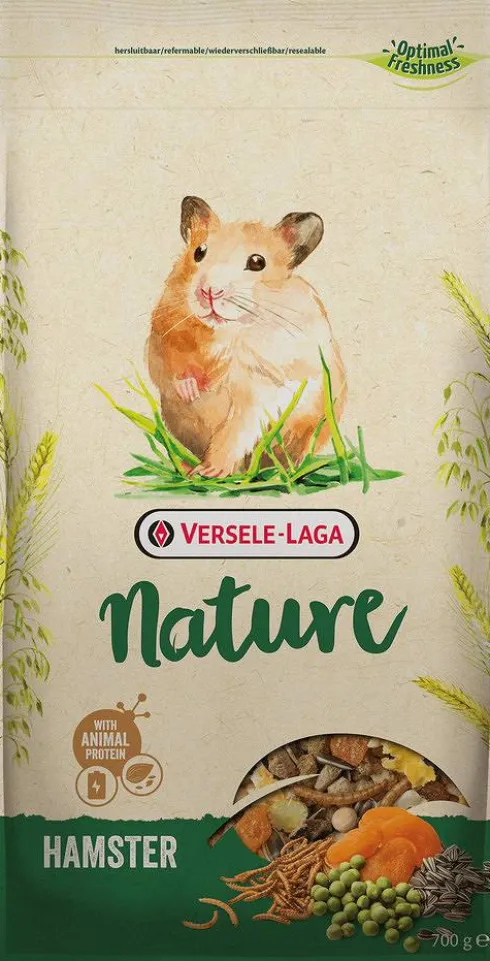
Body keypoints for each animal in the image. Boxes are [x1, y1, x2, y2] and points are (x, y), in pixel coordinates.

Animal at [147, 196, 346, 477]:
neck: (229, 331)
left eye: (257, 262)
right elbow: (167, 368)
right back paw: (186, 467)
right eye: (199, 252)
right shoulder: (160, 335)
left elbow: (236, 430)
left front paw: (210, 471)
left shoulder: (263, 385)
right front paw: (191, 390)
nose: (208, 292)